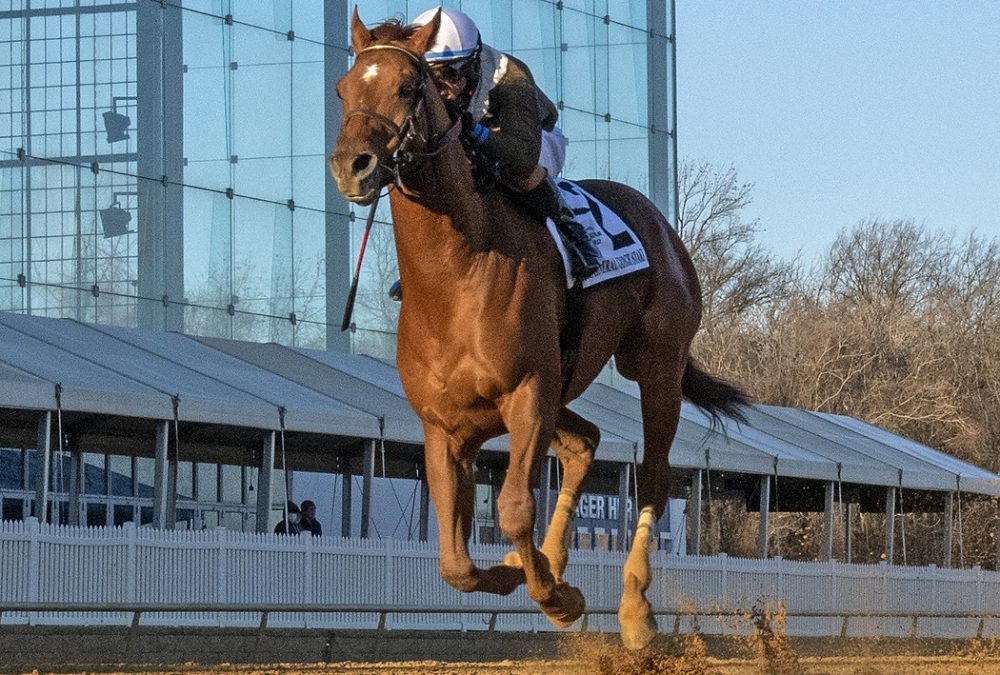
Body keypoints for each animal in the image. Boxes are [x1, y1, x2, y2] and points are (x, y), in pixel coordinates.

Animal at [332, 7, 748, 648]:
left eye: (406, 87)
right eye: (343, 89)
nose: (352, 165)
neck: (457, 276)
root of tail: (661, 227)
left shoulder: (528, 394)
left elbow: (512, 510)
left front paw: (556, 594)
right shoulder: (444, 425)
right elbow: (455, 562)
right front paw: (530, 572)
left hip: (655, 366)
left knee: (653, 477)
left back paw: (634, 609)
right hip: (564, 384)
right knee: (584, 442)